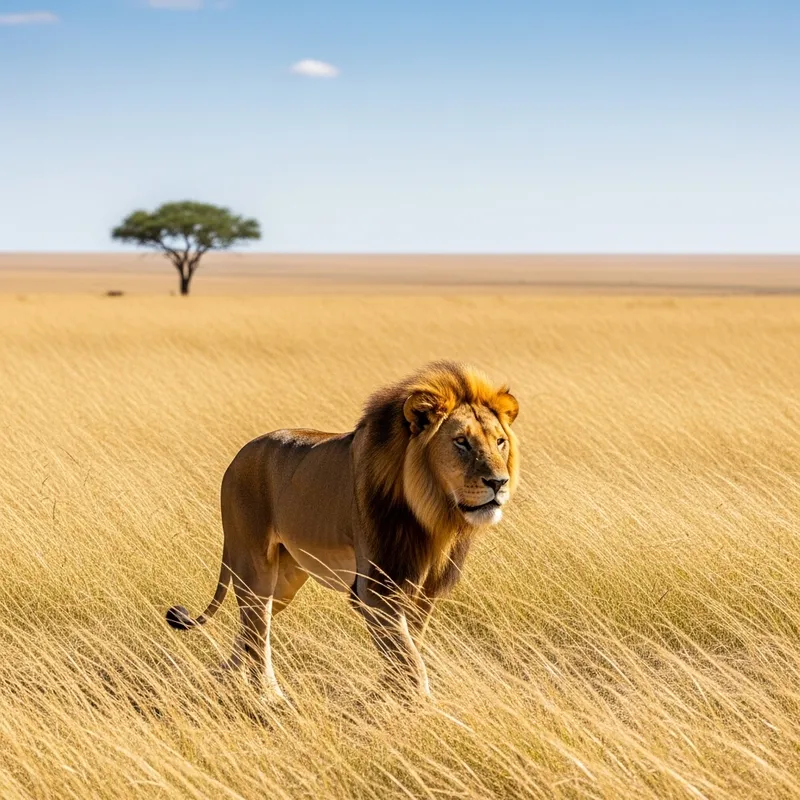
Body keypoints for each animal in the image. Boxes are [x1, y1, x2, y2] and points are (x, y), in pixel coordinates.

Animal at [166, 361, 520, 699]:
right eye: (461, 442)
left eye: (500, 442)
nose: (498, 482)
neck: (434, 518)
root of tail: (238, 457)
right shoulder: (377, 589)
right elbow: (412, 663)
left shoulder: (424, 590)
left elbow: (408, 652)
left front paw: (384, 697)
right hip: (254, 565)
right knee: (256, 630)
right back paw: (270, 697)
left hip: (286, 578)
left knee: (250, 630)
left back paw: (222, 679)